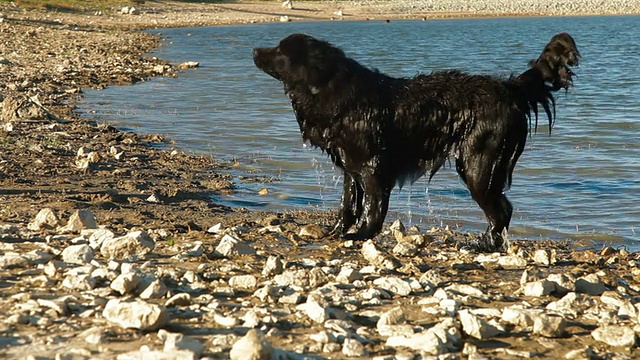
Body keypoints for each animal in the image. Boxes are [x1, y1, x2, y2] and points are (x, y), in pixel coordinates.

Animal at [254, 32, 580, 252]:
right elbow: (348, 206)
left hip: (477, 163)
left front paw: (359, 236)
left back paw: (484, 244)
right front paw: (335, 232)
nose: (255, 49)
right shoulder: (350, 166)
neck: (331, 90)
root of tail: (508, 88)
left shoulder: (373, 167)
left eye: (280, 50)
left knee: (501, 210)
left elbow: (373, 209)